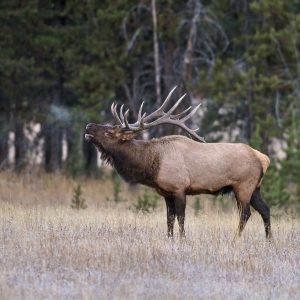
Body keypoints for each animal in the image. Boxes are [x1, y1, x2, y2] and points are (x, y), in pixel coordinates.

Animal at [85, 86, 272, 239]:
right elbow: (169, 219)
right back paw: (269, 240)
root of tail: (263, 158)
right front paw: (170, 238)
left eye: (109, 132)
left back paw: (236, 239)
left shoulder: (179, 188)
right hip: (255, 188)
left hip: (243, 186)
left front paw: (182, 239)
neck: (152, 164)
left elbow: (181, 218)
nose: (88, 126)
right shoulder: (166, 193)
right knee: (265, 209)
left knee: (245, 213)